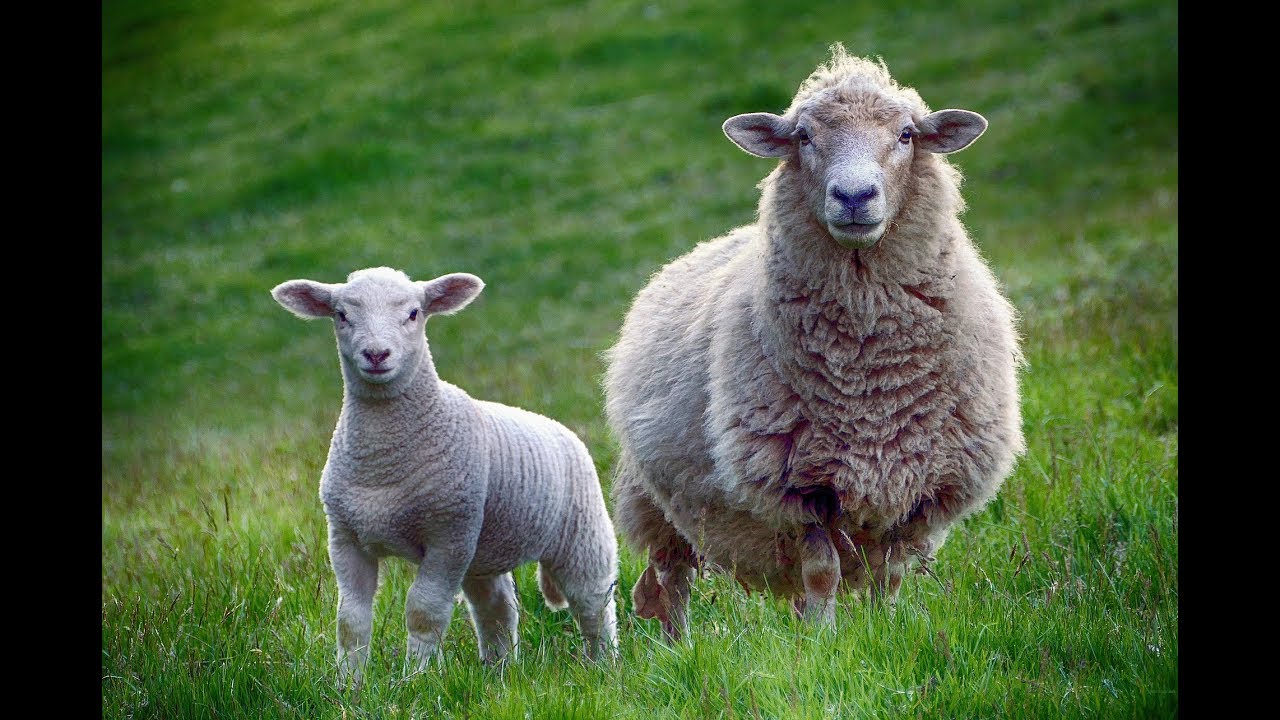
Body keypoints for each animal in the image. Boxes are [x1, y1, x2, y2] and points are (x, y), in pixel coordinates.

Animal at [271, 266, 618, 688]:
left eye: (414, 313)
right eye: (341, 315)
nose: (376, 355)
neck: (382, 463)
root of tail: (561, 429)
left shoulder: (447, 534)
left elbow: (424, 611)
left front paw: (414, 680)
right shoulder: (345, 537)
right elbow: (350, 620)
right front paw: (348, 685)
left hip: (580, 532)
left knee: (593, 602)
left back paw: (603, 665)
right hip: (483, 549)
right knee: (496, 608)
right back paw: (499, 671)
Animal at [603, 44, 1024, 640]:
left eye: (906, 135)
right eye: (803, 136)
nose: (854, 196)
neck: (871, 377)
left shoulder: (920, 484)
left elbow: (890, 575)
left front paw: (883, 630)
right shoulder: (800, 486)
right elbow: (822, 572)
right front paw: (824, 642)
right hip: (655, 501)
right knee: (671, 579)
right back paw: (679, 645)